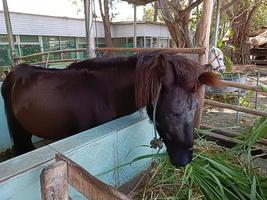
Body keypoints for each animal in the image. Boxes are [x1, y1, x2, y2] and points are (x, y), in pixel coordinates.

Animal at [1, 50, 221, 166]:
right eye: (174, 112)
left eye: (195, 109)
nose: (185, 160)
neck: (105, 94)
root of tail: (13, 74)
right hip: (20, 133)